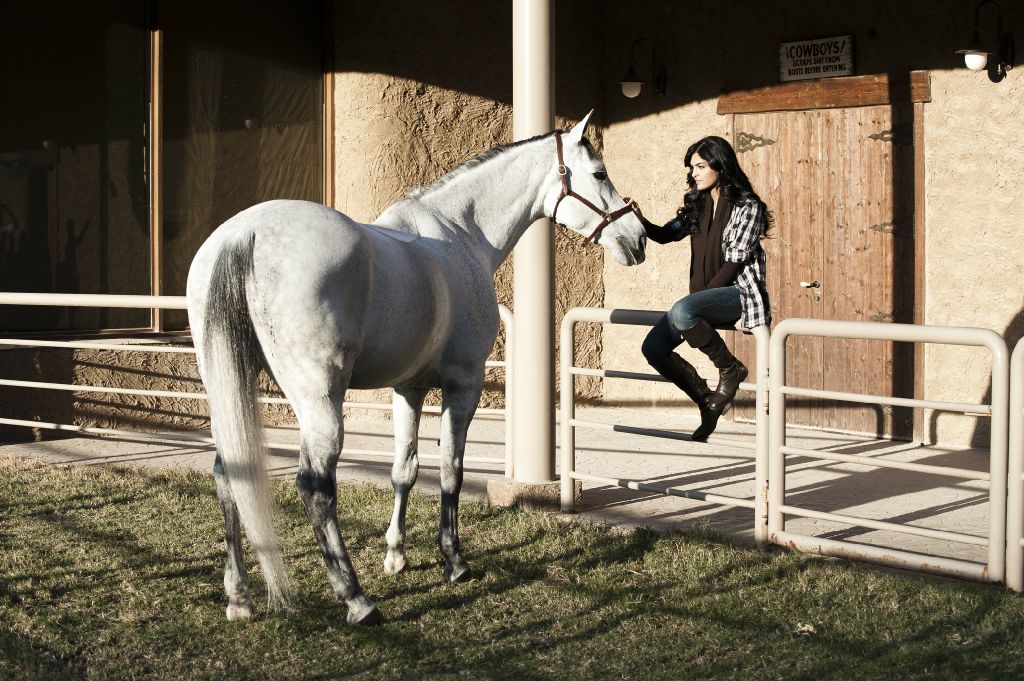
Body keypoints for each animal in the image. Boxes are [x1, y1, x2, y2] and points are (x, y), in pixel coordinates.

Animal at [188, 110, 643, 622]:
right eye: (600, 174)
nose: (638, 238)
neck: (461, 235)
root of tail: (243, 234)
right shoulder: (464, 383)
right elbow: (450, 470)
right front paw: (454, 560)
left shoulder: (408, 389)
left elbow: (404, 468)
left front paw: (396, 556)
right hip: (319, 400)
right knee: (315, 486)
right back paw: (356, 598)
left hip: (228, 387)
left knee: (229, 471)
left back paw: (239, 597)